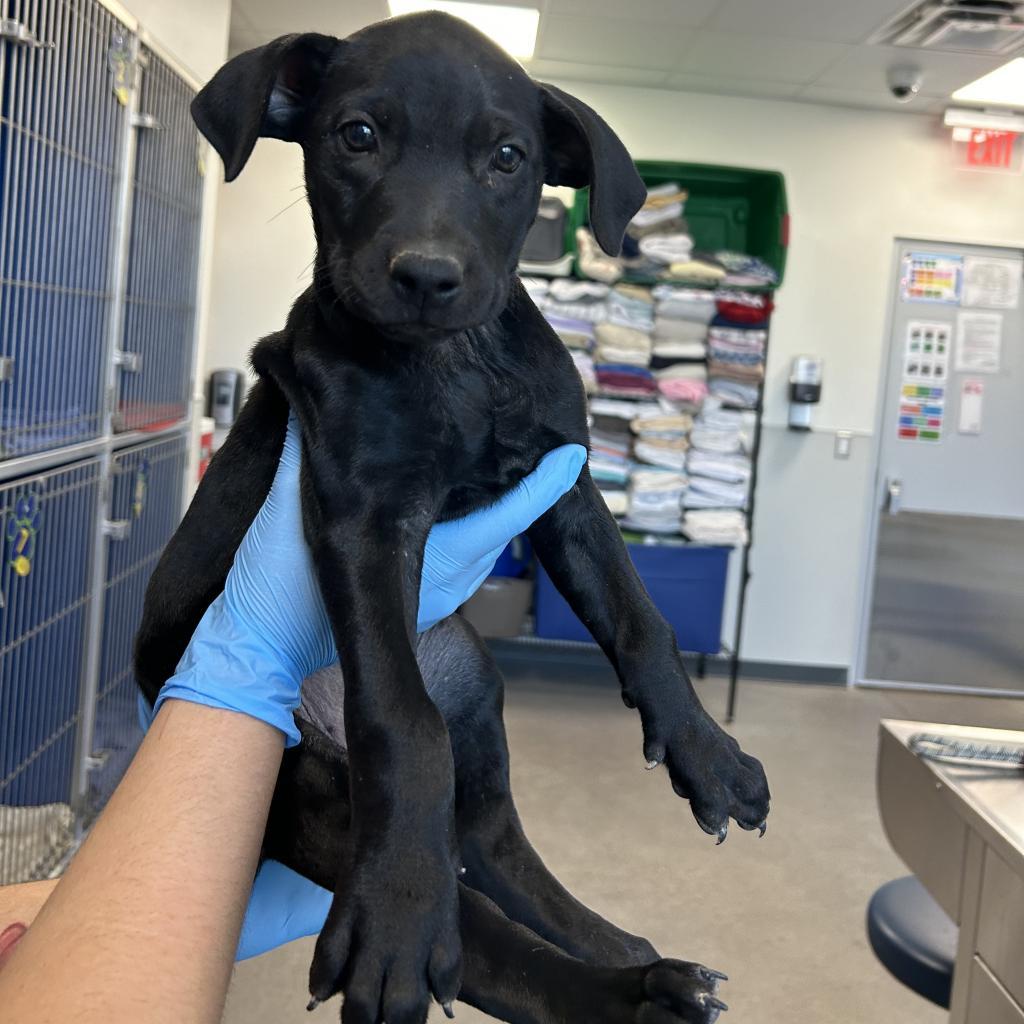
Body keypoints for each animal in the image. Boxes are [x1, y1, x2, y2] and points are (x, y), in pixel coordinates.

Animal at [134, 9, 770, 1024]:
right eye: (356, 135)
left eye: (508, 158)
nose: (427, 276)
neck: (456, 362)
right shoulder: (363, 515)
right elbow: (402, 715)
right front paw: (400, 906)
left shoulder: (566, 479)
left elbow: (642, 619)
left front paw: (706, 754)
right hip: (314, 801)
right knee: (487, 942)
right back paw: (617, 988)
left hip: (474, 704)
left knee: (498, 855)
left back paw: (629, 951)